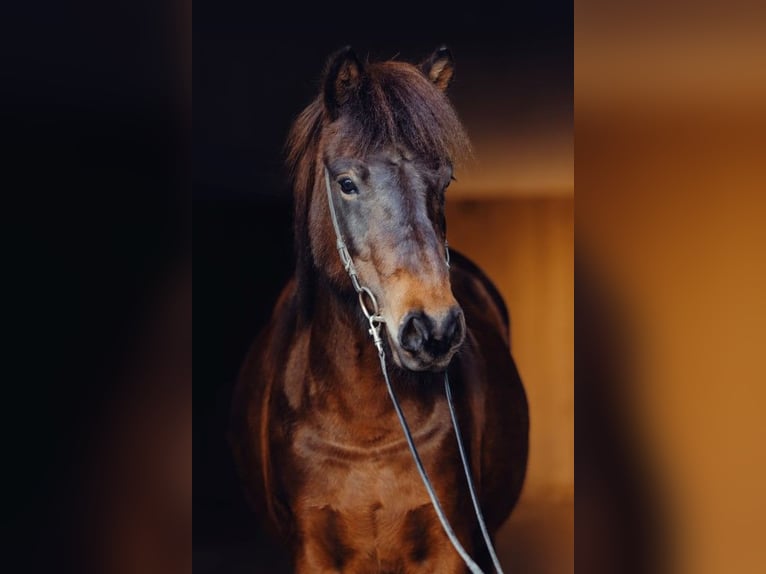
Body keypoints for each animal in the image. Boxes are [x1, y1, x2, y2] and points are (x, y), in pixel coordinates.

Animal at [230, 46, 529, 573]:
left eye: (444, 180)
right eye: (346, 182)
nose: (434, 329)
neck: (364, 424)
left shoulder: (447, 548)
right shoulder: (312, 552)